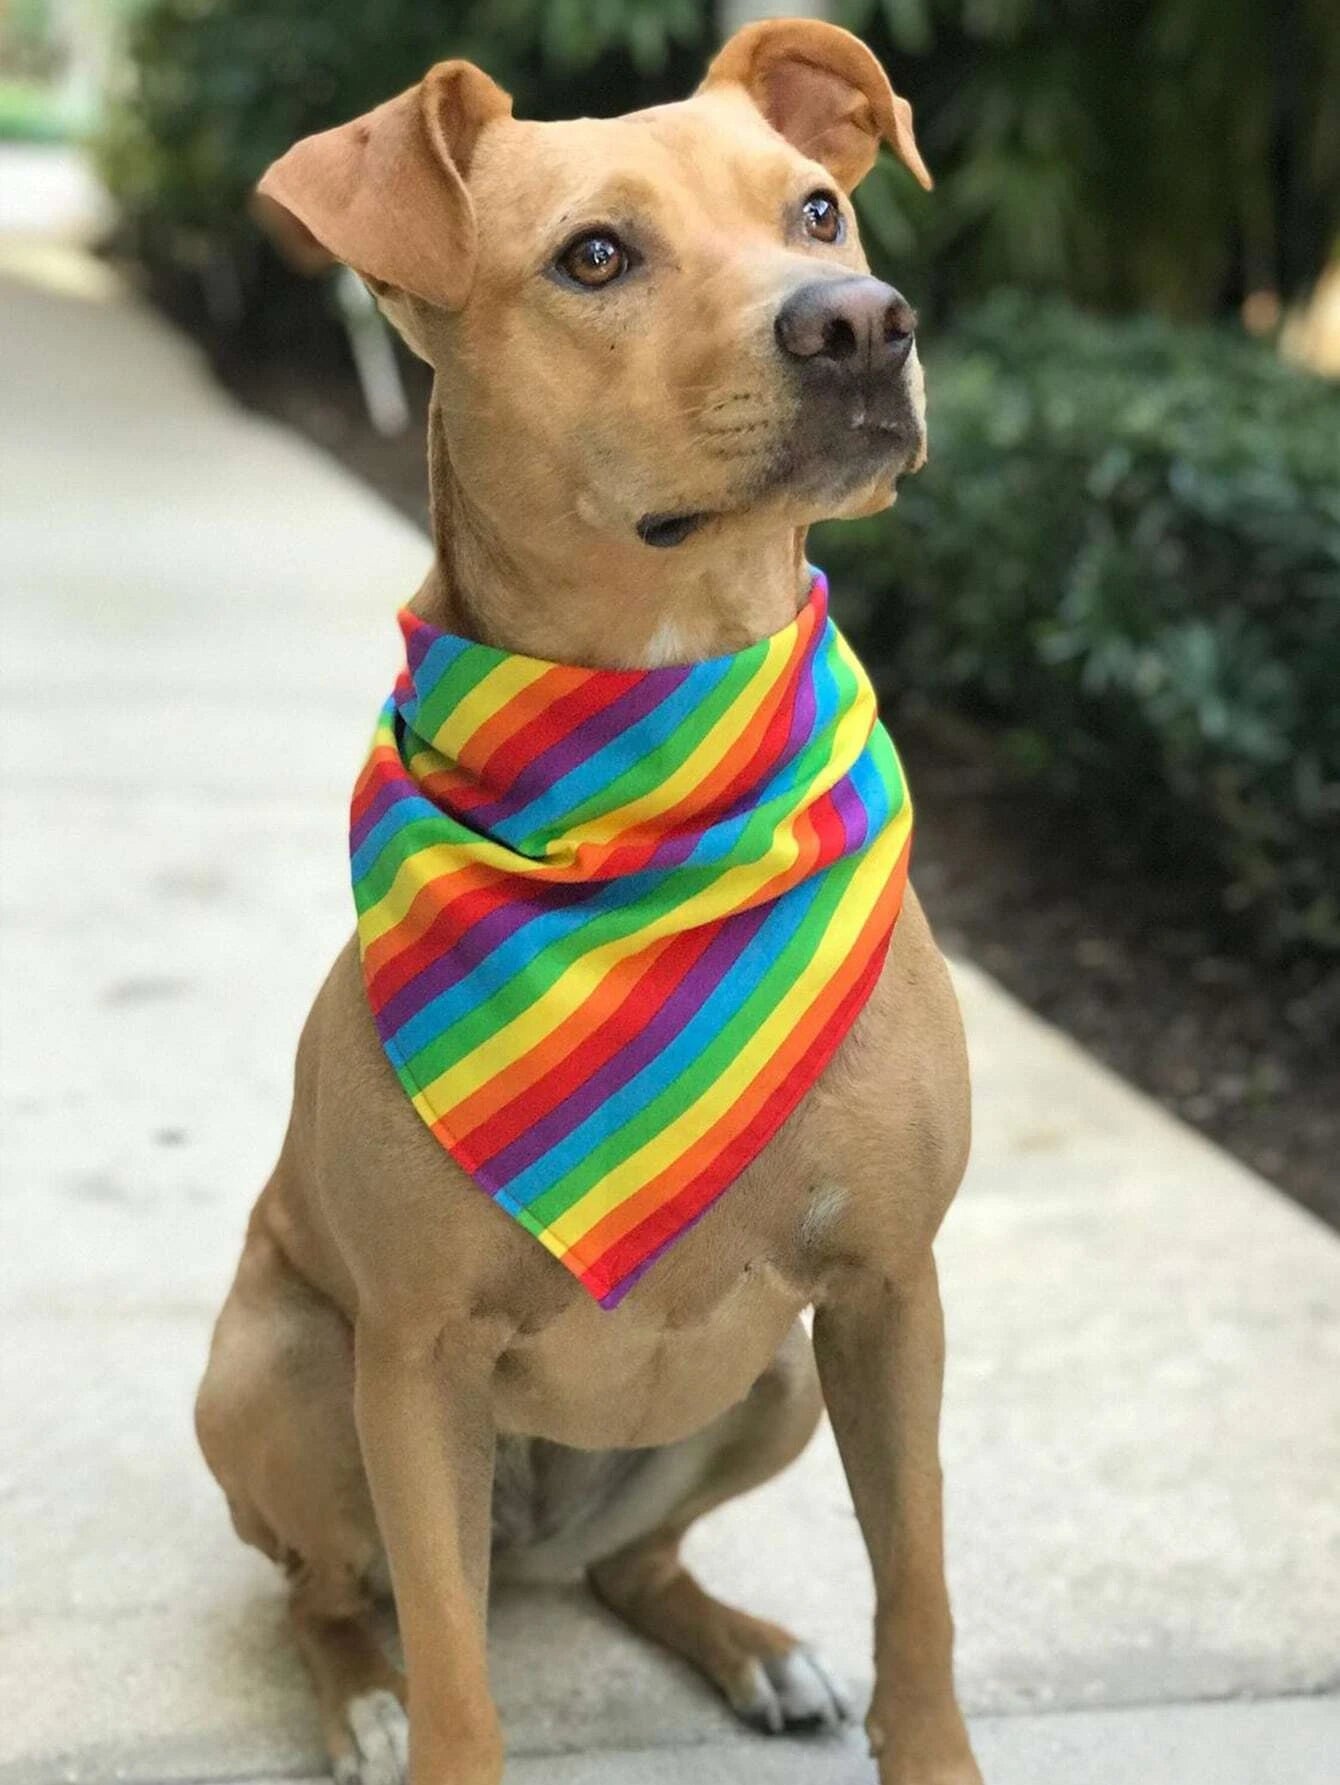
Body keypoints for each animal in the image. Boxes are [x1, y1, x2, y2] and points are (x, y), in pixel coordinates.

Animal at [190, 17, 984, 1785]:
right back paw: (355, 1694)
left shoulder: (890, 1292)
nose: (859, 323)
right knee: (327, 1590)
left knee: (638, 1558)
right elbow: (459, 1678)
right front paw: (414, 1710)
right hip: (284, 1374)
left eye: (818, 207)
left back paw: (744, 1644)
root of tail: (539, 1538)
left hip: (776, 1386)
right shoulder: (415, 1358)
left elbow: (920, 1595)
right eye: (595, 256)